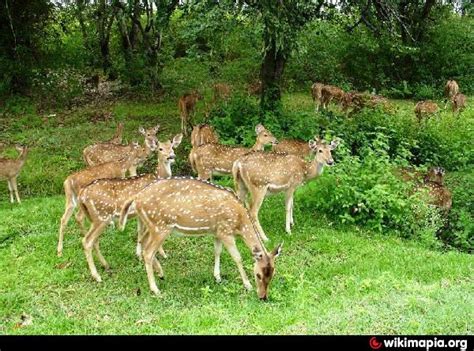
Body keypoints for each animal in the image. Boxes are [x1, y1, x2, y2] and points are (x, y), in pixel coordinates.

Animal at [77, 133, 182, 282]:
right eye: (160, 148)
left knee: (93, 240)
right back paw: (97, 276)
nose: (171, 156)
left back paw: (105, 265)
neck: (157, 177)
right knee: (87, 241)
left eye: (172, 147)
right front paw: (162, 254)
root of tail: (82, 195)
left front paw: (139, 254)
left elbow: (140, 232)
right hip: (101, 216)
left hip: (93, 217)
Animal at [118, 179, 284, 300]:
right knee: (148, 252)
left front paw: (217, 277)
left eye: (273, 274)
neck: (239, 221)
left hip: (151, 225)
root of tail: (136, 198)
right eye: (258, 275)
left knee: (143, 242)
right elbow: (237, 257)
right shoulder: (225, 230)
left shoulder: (217, 232)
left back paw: (160, 273)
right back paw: (155, 289)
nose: (263, 297)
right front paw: (247, 285)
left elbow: (217, 252)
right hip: (161, 226)